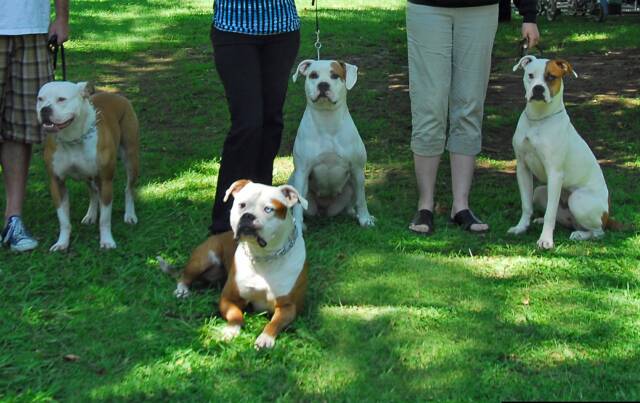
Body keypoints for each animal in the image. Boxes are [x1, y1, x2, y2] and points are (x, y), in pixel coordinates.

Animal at [37, 81, 139, 251]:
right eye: (40, 99)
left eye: (61, 99)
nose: (44, 109)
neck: (73, 139)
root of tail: (117, 96)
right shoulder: (57, 182)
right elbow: (63, 219)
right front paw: (62, 242)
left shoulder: (105, 181)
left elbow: (105, 218)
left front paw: (107, 241)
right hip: (88, 175)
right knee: (93, 192)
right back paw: (90, 215)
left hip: (131, 159)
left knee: (129, 189)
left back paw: (130, 215)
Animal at [161, 181, 308, 350]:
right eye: (242, 205)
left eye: (268, 209)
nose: (248, 215)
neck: (263, 256)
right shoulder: (228, 298)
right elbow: (235, 316)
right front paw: (231, 330)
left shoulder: (288, 307)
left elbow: (274, 323)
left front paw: (265, 338)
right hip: (203, 259)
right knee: (184, 276)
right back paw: (182, 291)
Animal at [288, 58, 372, 232]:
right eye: (313, 75)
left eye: (335, 75)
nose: (323, 85)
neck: (327, 120)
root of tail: (323, 210)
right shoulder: (302, 172)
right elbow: (298, 209)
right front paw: (298, 228)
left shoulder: (357, 169)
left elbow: (362, 199)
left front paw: (365, 219)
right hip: (294, 182)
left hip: (352, 184)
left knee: (352, 201)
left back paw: (353, 213)